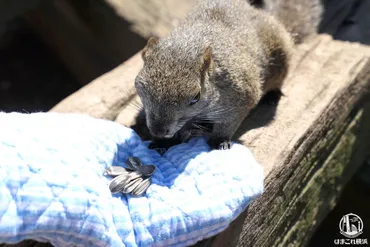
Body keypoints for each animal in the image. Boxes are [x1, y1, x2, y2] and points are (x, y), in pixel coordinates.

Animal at [134, 0, 322, 151]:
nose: (158, 130)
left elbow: (229, 122)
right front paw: (163, 141)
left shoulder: (242, 95)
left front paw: (220, 140)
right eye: (140, 86)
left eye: (196, 97)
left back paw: (272, 95)